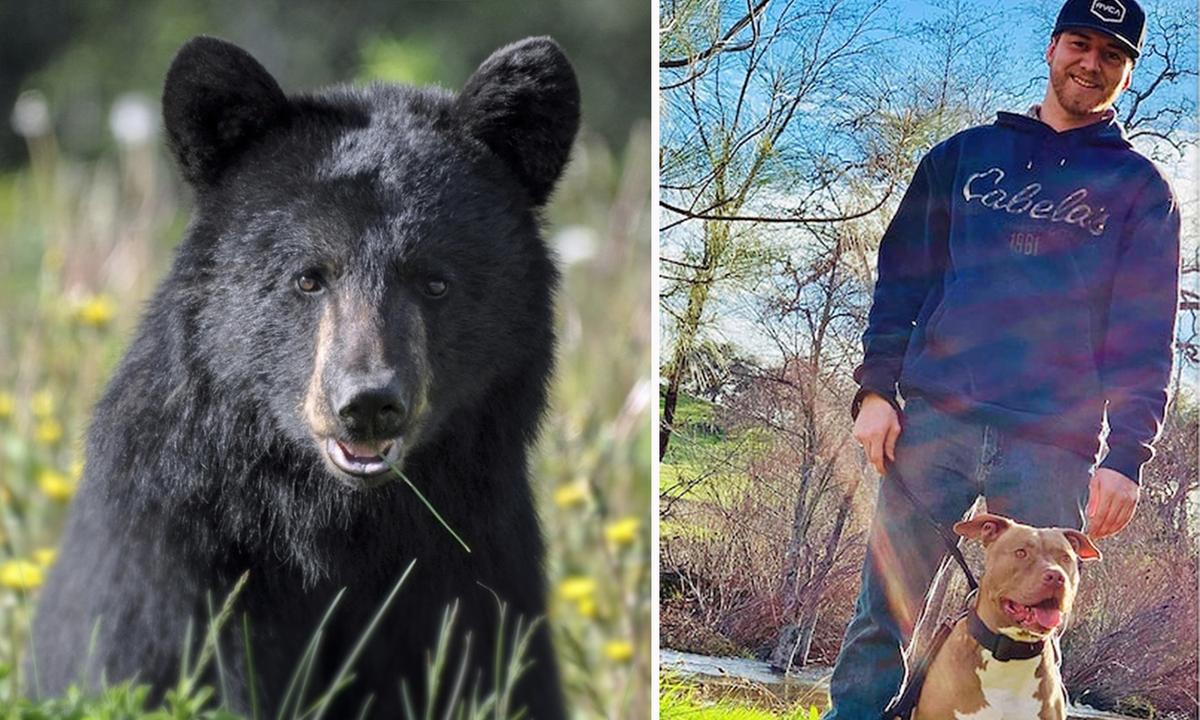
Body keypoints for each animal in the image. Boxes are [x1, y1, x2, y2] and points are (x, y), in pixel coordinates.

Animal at [28, 35, 579, 720]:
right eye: (308, 277)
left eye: (435, 281)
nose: (367, 404)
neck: (329, 526)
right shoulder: (173, 569)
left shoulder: (477, 567)